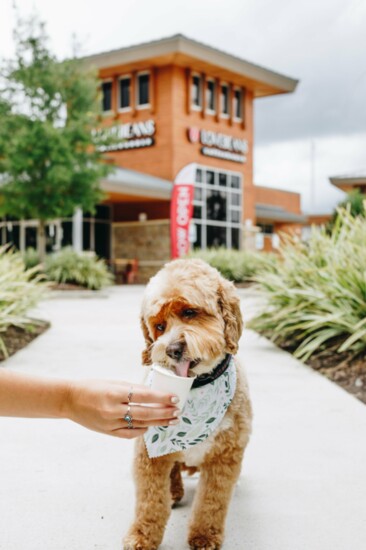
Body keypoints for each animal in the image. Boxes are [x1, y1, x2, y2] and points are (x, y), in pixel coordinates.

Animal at [123, 260, 252, 550]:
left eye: (190, 312)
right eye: (159, 326)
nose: (172, 349)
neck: (197, 386)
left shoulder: (225, 457)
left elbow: (212, 503)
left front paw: (204, 536)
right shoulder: (148, 454)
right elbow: (150, 502)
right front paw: (142, 536)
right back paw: (174, 491)